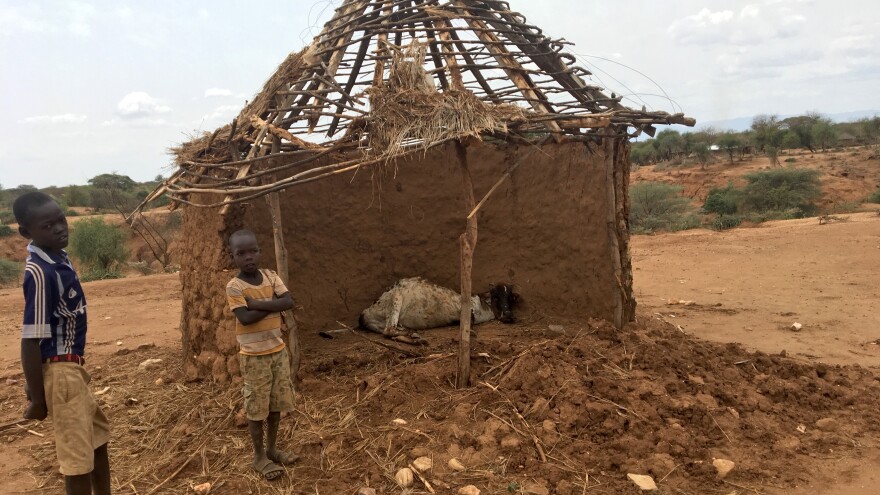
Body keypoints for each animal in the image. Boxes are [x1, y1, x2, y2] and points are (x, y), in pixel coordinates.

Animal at [360, 278, 520, 340]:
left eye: (510, 297)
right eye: (495, 297)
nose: (508, 314)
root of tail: (363, 314)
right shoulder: (463, 309)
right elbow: (470, 320)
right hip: (396, 297)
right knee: (389, 330)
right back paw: (414, 334)